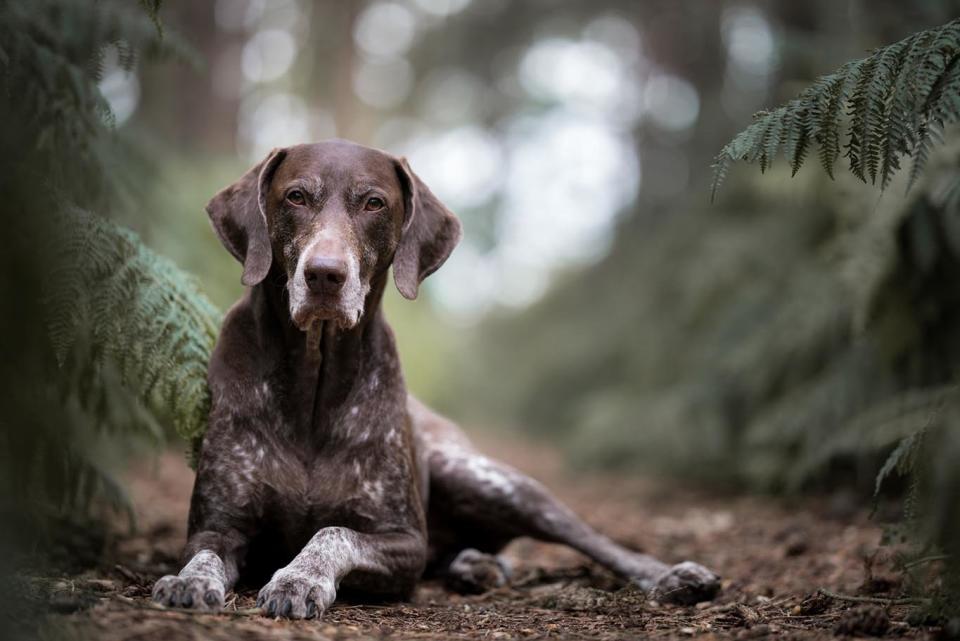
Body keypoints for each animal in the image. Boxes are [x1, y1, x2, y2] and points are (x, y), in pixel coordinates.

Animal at [150, 139, 720, 616]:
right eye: (295, 196)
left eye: (373, 203)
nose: (325, 274)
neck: (314, 377)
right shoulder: (219, 525)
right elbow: (203, 555)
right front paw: (189, 582)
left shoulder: (405, 542)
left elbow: (333, 532)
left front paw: (298, 579)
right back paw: (474, 566)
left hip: (491, 481)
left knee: (594, 539)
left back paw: (672, 575)